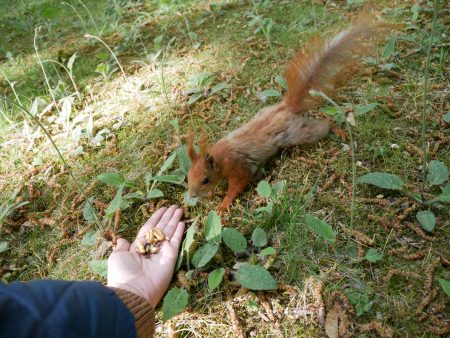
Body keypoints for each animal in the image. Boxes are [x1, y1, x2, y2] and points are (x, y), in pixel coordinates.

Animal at [188, 13, 382, 215]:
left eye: (205, 180)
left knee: (322, 126)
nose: (191, 196)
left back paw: (338, 130)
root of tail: (285, 107)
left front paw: (223, 204)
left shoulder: (238, 167)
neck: (220, 156)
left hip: (298, 132)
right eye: (187, 177)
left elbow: (238, 185)